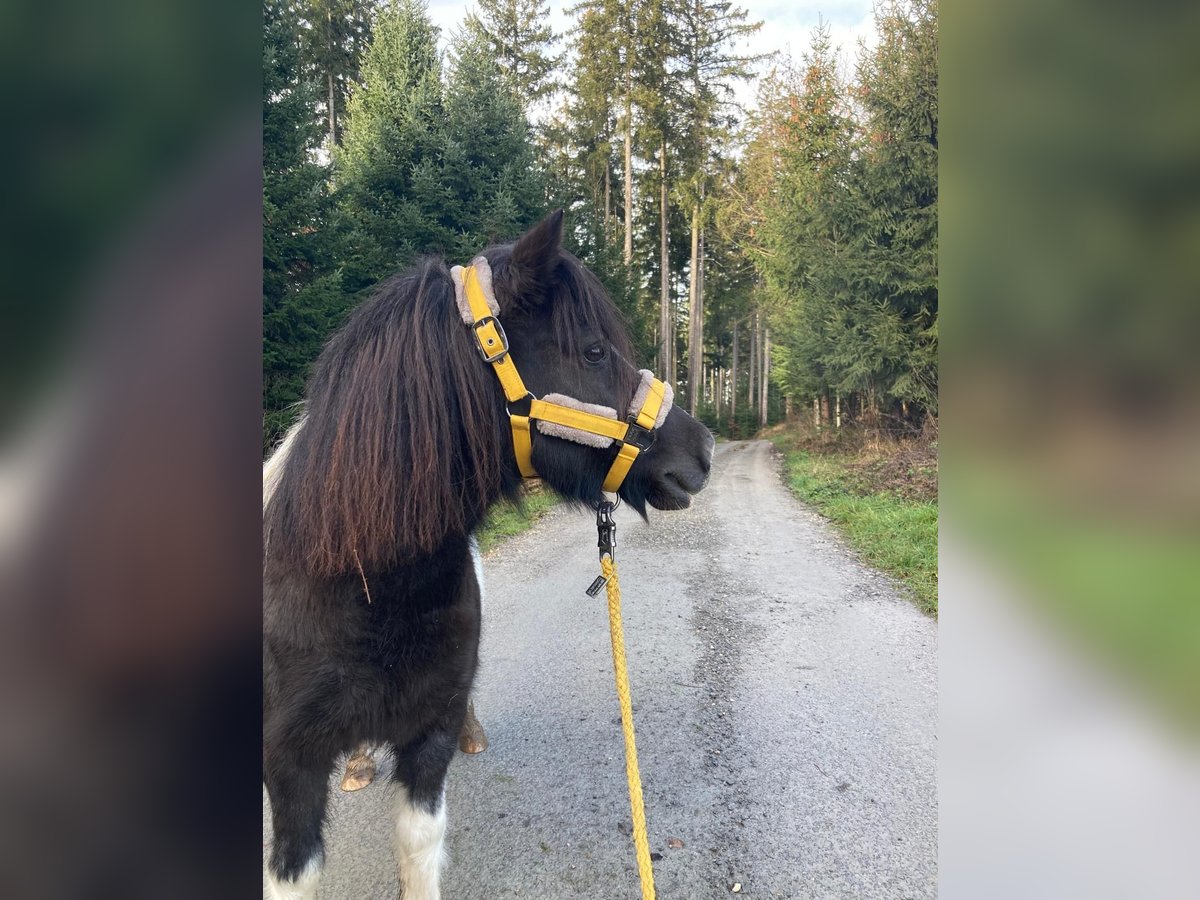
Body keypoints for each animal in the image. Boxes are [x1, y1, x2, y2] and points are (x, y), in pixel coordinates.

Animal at [262, 207, 710, 897]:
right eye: (593, 350)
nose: (703, 451)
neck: (364, 587)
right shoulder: (290, 767)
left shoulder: (428, 739)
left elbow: (420, 849)